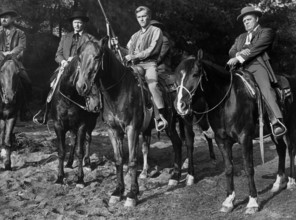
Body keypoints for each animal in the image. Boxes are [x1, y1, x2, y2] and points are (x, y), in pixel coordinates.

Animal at [51, 56, 99, 186]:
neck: (69, 98)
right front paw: (59, 177)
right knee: (73, 141)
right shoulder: (58, 126)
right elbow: (62, 151)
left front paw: (80, 179)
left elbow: (80, 151)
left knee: (87, 139)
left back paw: (87, 162)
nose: (96, 105)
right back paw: (69, 162)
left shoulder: (82, 125)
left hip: (91, 123)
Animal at [74, 38, 183, 207]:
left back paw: (175, 177)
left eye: (97, 56)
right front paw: (118, 191)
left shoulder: (132, 129)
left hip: (170, 125)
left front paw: (132, 194)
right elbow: (119, 160)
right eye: (79, 58)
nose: (81, 86)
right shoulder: (113, 131)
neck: (118, 93)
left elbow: (132, 161)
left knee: (178, 144)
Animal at [173, 50, 296, 215]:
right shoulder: (222, 140)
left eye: (195, 74)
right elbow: (228, 168)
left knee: (291, 150)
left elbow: (248, 168)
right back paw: (278, 183)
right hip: (274, 132)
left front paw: (252, 202)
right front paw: (229, 201)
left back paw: (291, 181)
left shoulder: (245, 138)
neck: (227, 101)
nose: (180, 105)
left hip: (291, 126)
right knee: (281, 149)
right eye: (176, 78)